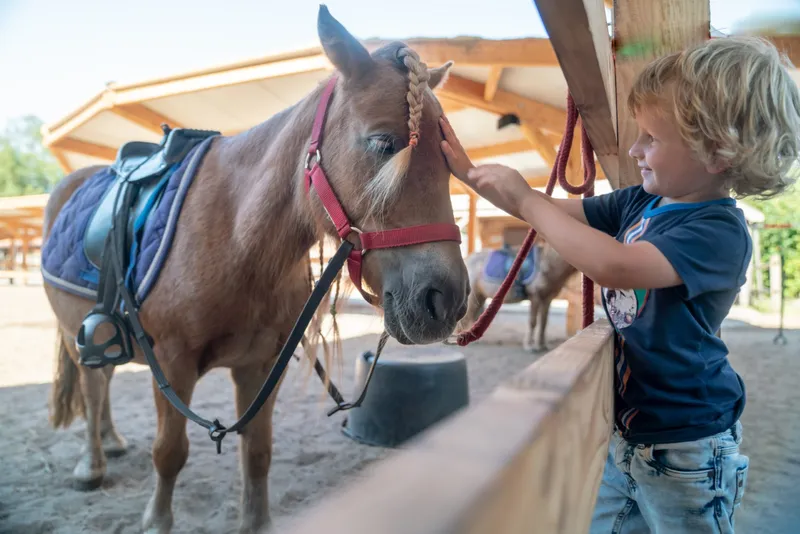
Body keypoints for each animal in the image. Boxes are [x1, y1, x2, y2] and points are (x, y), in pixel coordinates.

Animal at [40, 7, 470, 533]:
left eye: (449, 158)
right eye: (384, 143)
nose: (445, 299)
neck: (237, 238)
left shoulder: (261, 365)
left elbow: (258, 453)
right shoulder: (173, 363)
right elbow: (169, 452)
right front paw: (157, 519)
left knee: (100, 388)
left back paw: (113, 441)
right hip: (72, 331)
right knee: (92, 385)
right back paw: (92, 463)